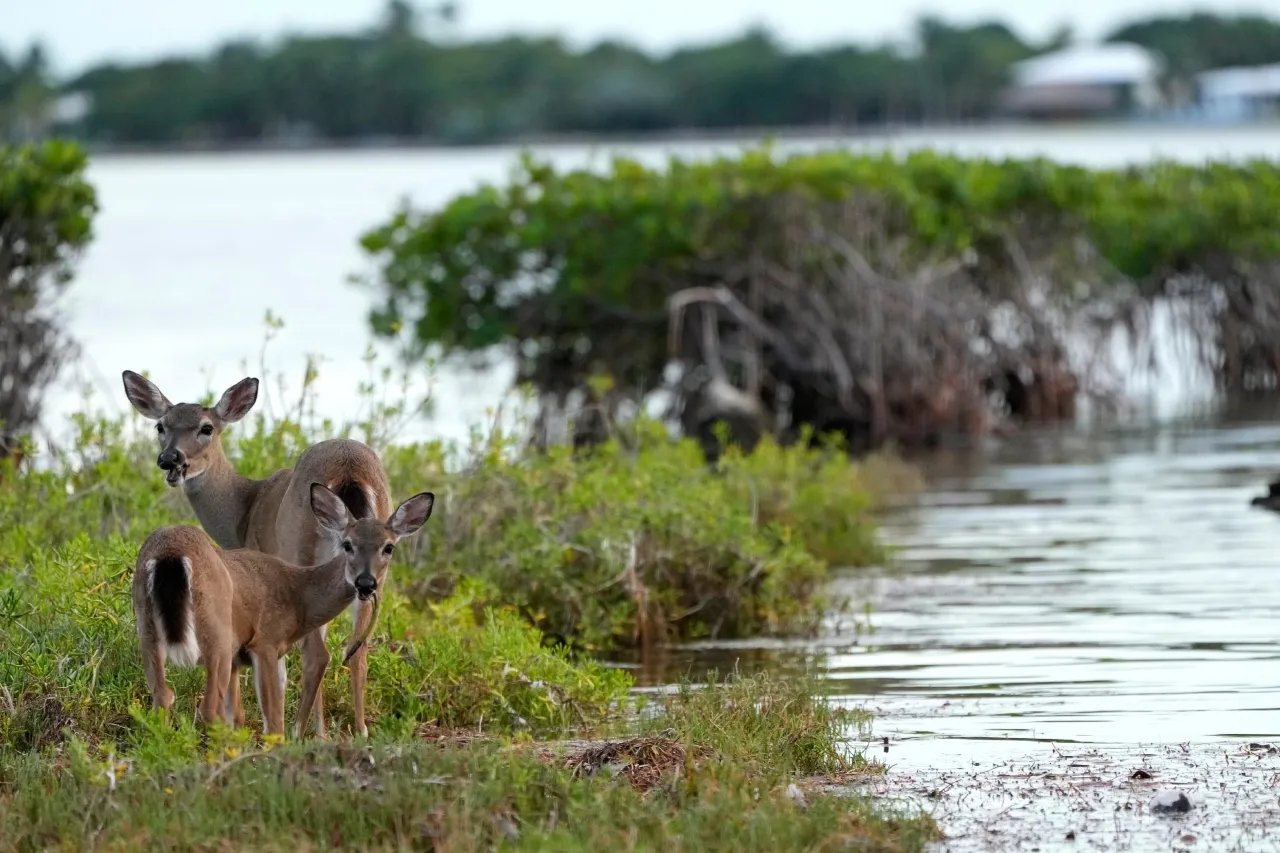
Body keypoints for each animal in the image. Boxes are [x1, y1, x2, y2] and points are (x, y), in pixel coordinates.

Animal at [124, 368, 394, 732]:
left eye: (206, 427)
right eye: (161, 426)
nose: (170, 460)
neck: (245, 510)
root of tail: (349, 469)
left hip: (301, 547)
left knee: (318, 653)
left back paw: (307, 732)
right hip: (375, 564)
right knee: (358, 646)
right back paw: (359, 729)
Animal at [133, 481, 435, 732]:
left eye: (388, 547)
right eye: (347, 544)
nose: (365, 583)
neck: (299, 596)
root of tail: (171, 555)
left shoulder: (241, 658)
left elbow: (239, 716)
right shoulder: (265, 642)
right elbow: (273, 722)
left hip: (147, 628)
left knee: (163, 698)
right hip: (215, 634)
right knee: (209, 709)